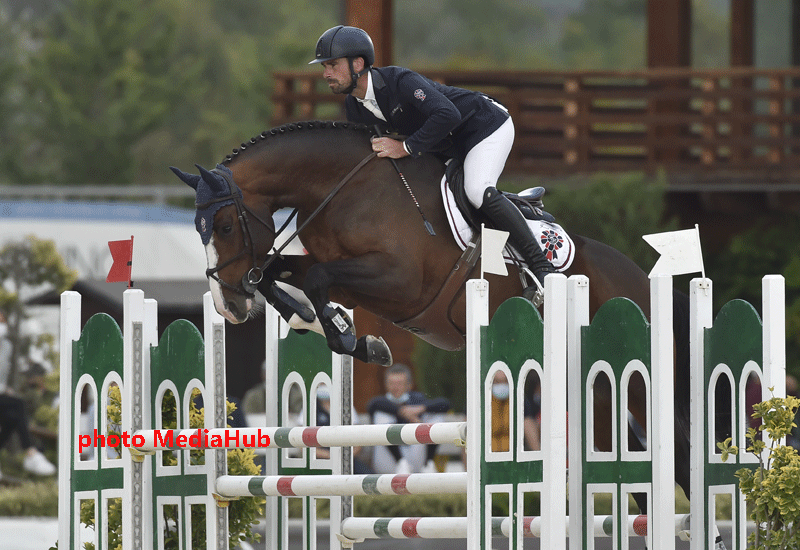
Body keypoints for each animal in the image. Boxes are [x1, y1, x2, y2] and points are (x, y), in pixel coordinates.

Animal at [170, 121, 692, 512]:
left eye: (223, 226)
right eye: (198, 229)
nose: (228, 306)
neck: (342, 188)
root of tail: (639, 278)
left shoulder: (399, 282)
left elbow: (314, 279)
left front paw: (350, 336)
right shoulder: (344, 274)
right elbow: (280, 275)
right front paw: (330, 326)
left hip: (636, 379)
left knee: (678, 444)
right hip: (593, 391)